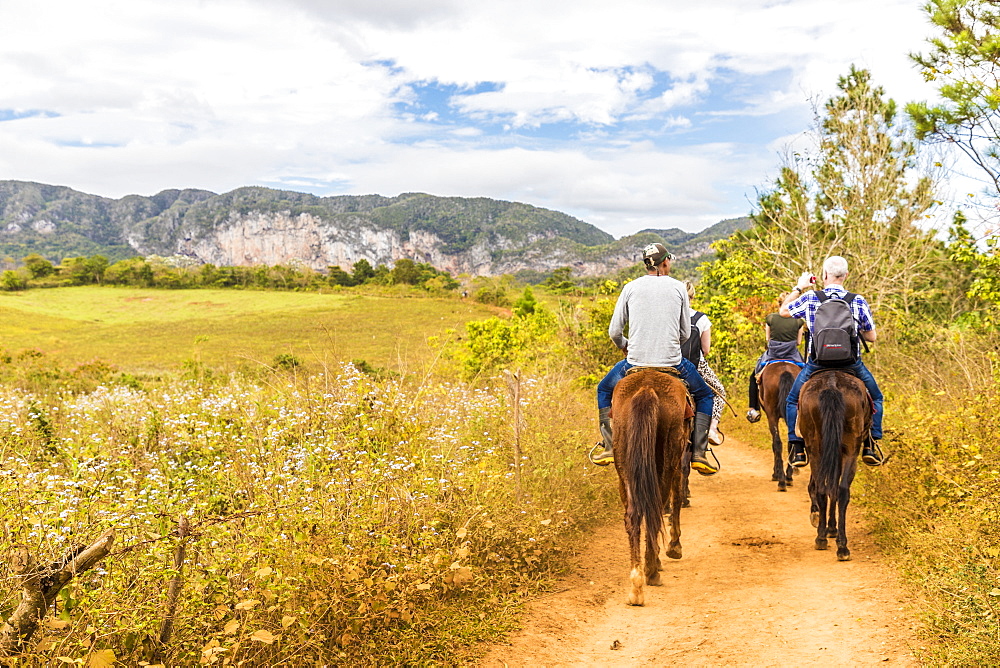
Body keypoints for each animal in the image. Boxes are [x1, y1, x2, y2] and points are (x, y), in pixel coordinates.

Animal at [612, 368, 692, 608]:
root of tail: (646, 387)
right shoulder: (678, 464)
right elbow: (676, 500)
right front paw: (674, 547)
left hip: (624, 464)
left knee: (633, 516)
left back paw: (636, 585)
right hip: (669, 456)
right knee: (655, 509)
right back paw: (652, 571)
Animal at [760, 360, 800, 490]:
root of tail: (785, 371)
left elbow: (774, 444)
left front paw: (775, 473)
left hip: (771, 414)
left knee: (777, 443)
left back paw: (781, 481)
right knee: (791, 443)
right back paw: (788, 477)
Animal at [796, 368, 868, 560]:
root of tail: (831, 384)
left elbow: (829, 488)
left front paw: (829, 527)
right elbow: (832, 488)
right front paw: (831, 528)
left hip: (817, 448)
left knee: (826, 489)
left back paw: (825, 539)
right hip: (848, 448)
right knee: (838, 490)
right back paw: (839, 545)